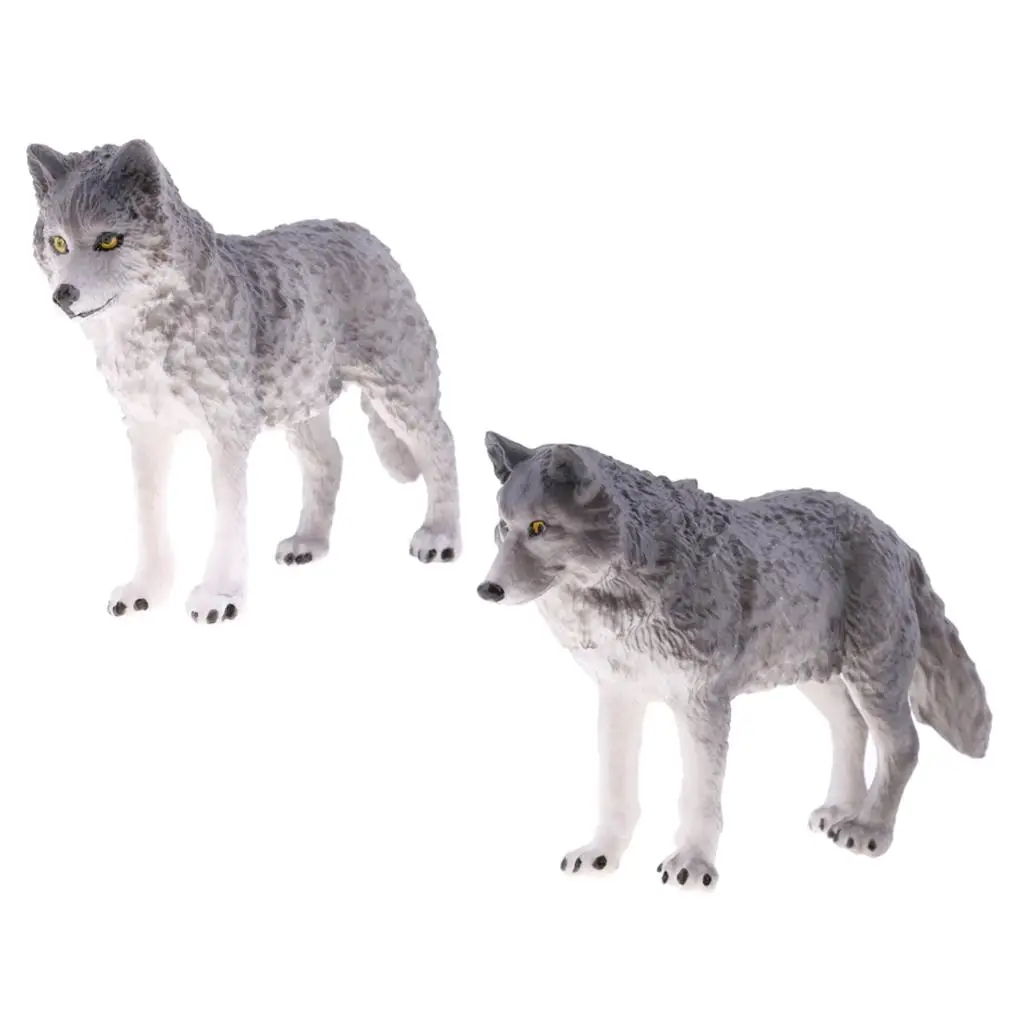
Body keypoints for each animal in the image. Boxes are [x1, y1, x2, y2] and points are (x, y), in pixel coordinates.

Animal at [26, 139, 461, 623]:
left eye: (108, 240)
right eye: (58, 242)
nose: (63, 295)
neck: (151, 333)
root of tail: (362, 234)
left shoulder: (227, 434)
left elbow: (228, 517)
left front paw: (219, 596)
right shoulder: (146, 431)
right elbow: (149, 514)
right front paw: (146, 590)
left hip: (399, 394)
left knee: (441, 443)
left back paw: (441, 535)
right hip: (301, 403)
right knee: (329, 460)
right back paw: (309, 543)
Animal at [477, 432, 991, 890]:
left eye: (539, 528)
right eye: (502, 527)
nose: (487, 589)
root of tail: (894, 535)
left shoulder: (703, 703)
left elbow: (700, 796)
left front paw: (693, 863)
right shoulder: (620, 696)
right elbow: (614, 790)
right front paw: (602, 853)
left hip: (872, 677)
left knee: (903, 745)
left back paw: (868, 828)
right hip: (818, 678)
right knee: (851, 727)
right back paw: (842, 810)